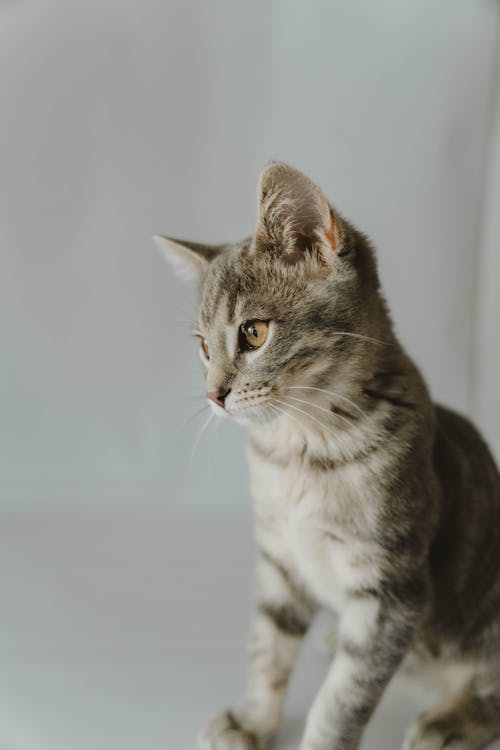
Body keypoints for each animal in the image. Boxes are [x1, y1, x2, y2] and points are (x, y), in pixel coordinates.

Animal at [154, 164, 500, 750]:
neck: (302, 452)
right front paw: (252, 719)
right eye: (202, 346)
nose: (213, 395)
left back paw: (449, 720)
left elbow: (344, 696)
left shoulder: (393, 592)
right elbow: (267, 646)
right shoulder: (280, 560)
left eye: (253, 333)